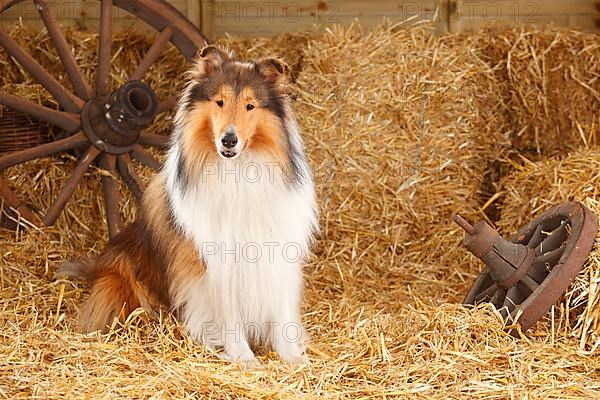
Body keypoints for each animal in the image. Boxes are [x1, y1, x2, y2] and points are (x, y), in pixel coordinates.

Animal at [57, 46, 318, 366]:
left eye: (250, 106)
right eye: (219, 101)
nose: (228, 140)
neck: (238, 172)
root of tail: (96, 267)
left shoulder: (278, 252)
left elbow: (282, 313)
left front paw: (294, 359)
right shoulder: (216, 261)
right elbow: (229, 315)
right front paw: (244, 358)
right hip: (122, 276)